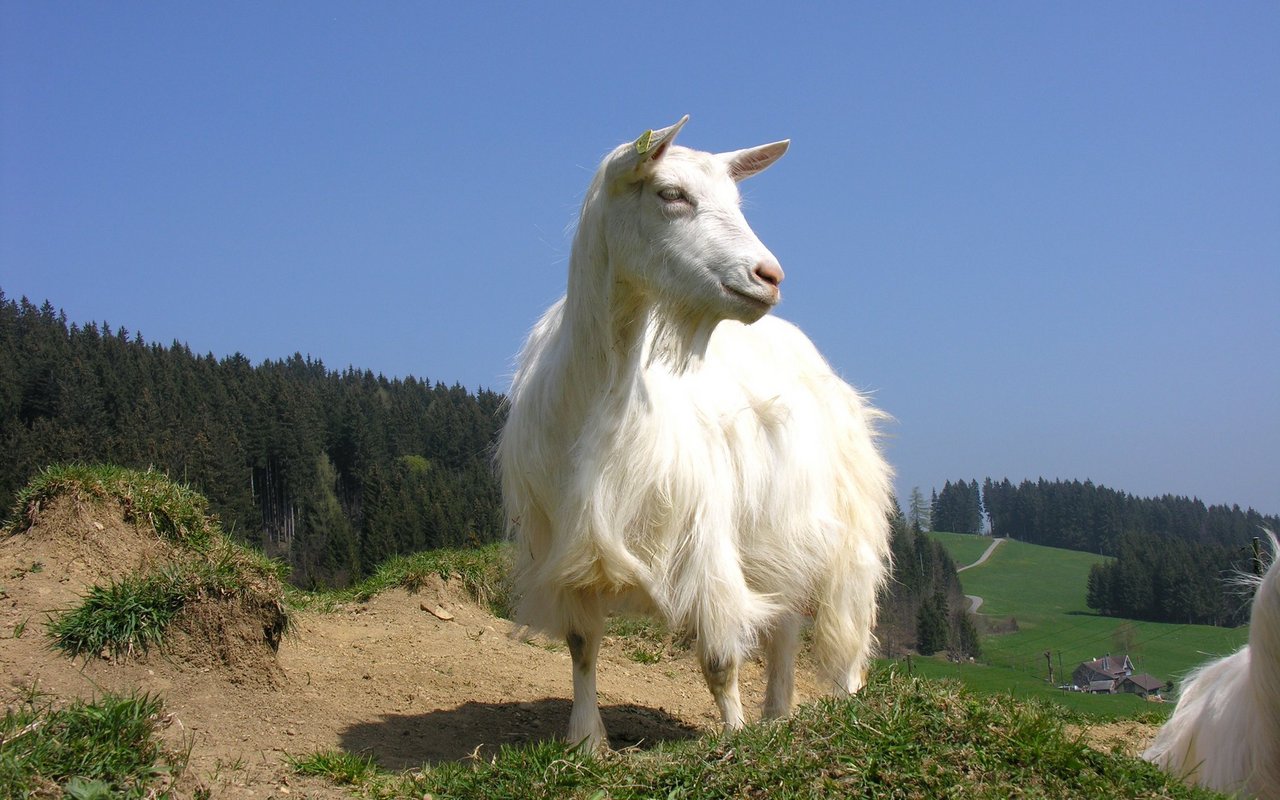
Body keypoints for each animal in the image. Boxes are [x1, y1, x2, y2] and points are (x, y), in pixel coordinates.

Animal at [497, 116, 893, 750]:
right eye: (672, 194)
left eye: (735, 199)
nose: (768, 276)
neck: (600, 396)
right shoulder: (568, 546)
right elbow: (582, 648)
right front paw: (585, 741)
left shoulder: (705, 538)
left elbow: (719, 660)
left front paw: (734, 738)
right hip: (775, 537)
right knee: (784, 625)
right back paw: (778, 714)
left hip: (844, 530)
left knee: (844, 629)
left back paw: (844, 706)